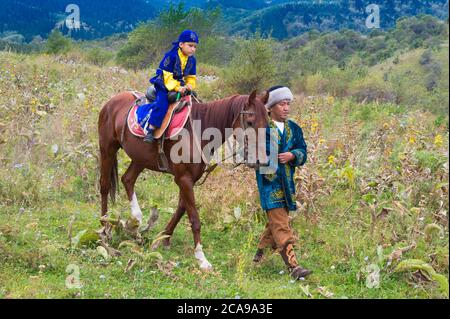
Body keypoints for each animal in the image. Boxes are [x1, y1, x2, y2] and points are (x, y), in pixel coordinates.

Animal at [97, 90, 268, 270]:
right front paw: (201, 257)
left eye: (267, 122)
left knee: (127, 179)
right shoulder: (184, 179)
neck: (199, 131)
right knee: (105, 185)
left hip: (140, 158)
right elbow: (194, 218)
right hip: (107, 148)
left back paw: (136, 225)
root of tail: (112, 102)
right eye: (250, 122)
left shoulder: (188, 179)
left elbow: (181, 208)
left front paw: (162, 239)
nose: (260, 160)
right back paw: (105, 226)